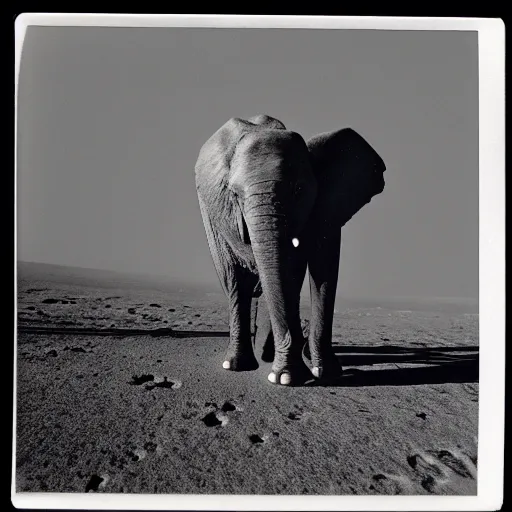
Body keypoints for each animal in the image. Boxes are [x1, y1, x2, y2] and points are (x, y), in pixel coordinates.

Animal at [194, 114, 386, 386]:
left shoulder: (327, 204)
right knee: (233, 278)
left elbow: (321, 268)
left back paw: (266, 357)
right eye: (235, 195)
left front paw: (320, 373)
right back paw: (237, 365)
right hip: (209, 213)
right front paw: (288, 377)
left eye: (298, 190)